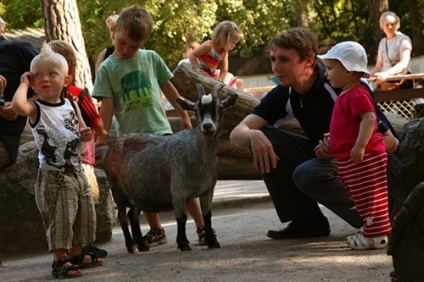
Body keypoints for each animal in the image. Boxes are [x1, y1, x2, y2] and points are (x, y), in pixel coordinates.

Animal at [98, 82, 238, 252]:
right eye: (196, 109)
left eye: (219, 107)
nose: (207, 126)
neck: (196, 153)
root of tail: (110, 147)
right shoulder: (178, 190)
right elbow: (182, 218)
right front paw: (183, 243)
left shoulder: (207, 190)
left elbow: (207, 215)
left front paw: (212, 241)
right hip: (117, 189)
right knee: (123, 216)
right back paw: (131, 246)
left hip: (136, 191)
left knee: (133, 214)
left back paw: (142, 245)